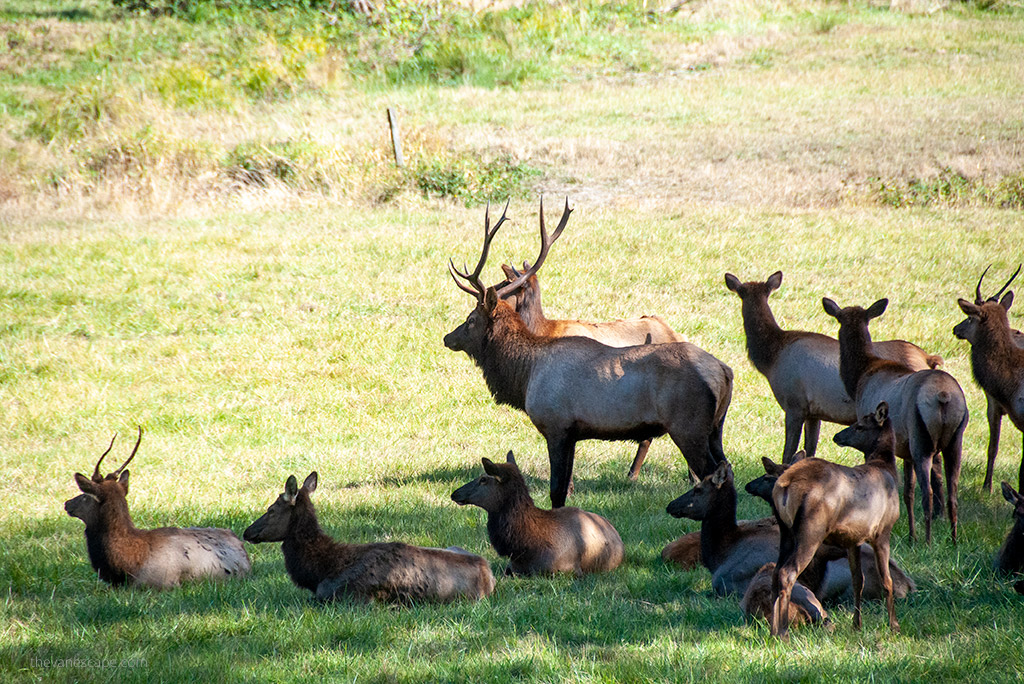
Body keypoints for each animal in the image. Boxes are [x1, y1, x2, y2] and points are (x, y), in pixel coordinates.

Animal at [724, 271, 942, 462]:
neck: (772, 357)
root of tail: (929, 359)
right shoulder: (814, 412)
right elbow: (809, 450)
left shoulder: (794, 404)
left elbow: (788, 452)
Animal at [770, 401, 902, 640]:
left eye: (859, 426)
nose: (837, 436)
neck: (886, 468)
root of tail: (784, 485)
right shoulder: (882, 531)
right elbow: (887, 581)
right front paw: (893, 626)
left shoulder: (853, 539)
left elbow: (858, 580)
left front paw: (856, 624)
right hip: (811, 530)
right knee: (787, 573)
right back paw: (783, 632)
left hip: (786, 532)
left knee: (775, 572)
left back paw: (772, 630)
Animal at [823, 296, 968, 544]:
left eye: (838, 319)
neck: (859, 377)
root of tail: (944, 396)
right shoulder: (904, 450)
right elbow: (907, 493)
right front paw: (911, 535)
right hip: (954, 440)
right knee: (953, 492)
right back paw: (954, 539)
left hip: (921, 439)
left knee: (928, 493)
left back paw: (928, 540)